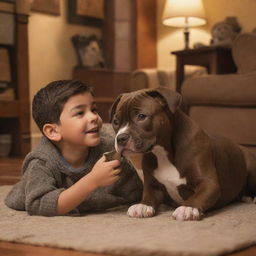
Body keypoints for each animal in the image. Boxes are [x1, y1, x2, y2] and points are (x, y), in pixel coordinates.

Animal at [109, 86, 256, 220]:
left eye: (141, 116)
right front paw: (143, 205)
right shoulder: (152, 185)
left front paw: (187, 208)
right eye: (115, 122)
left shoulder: (209, 183)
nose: (121, 138)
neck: (161, 152)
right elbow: (148, 195)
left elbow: (198, 196)